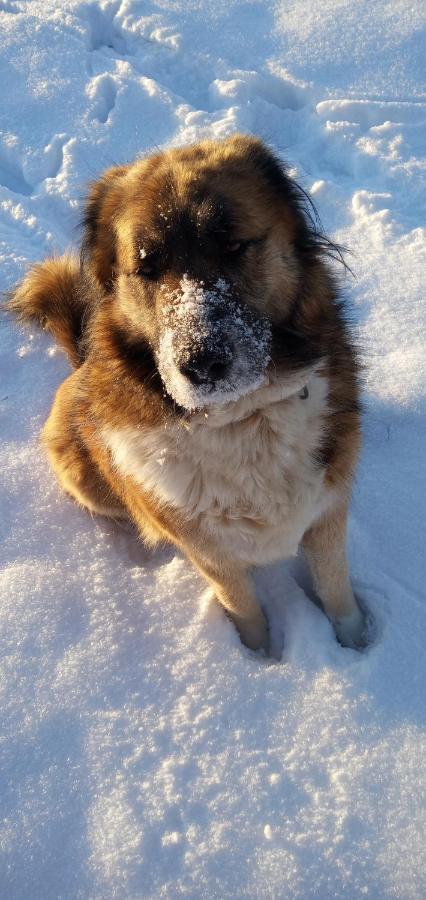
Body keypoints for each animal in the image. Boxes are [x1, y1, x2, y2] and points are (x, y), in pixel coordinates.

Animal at [8, 134, 366, 652]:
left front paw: (358, 647)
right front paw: (258, 659)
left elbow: (338, 595)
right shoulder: (210, 554)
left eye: (233, 245)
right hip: (80, 470)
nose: (202, 364)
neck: (240, 420)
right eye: (147, 266)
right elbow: (244, 608)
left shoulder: (328, 513)